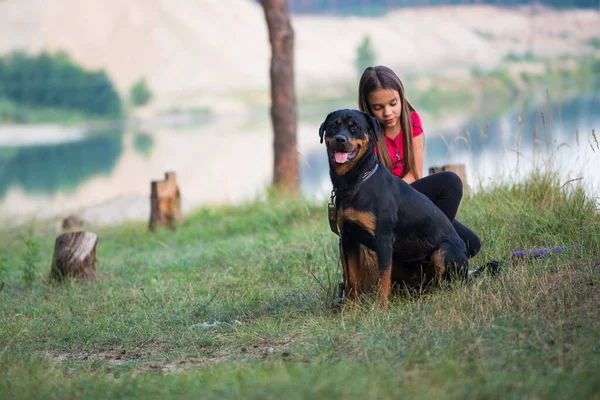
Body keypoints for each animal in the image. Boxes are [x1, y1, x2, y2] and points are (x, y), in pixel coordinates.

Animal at [318, 108, 468, 306]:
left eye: (355, 127)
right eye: (333, 126)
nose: (340, 139)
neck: (355, 181)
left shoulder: (383, 238)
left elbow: (383, 278)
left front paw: (380, 307)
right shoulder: (348, 238)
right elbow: (352, 278)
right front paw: (351, 307)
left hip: (442, 252)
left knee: (447, 282)